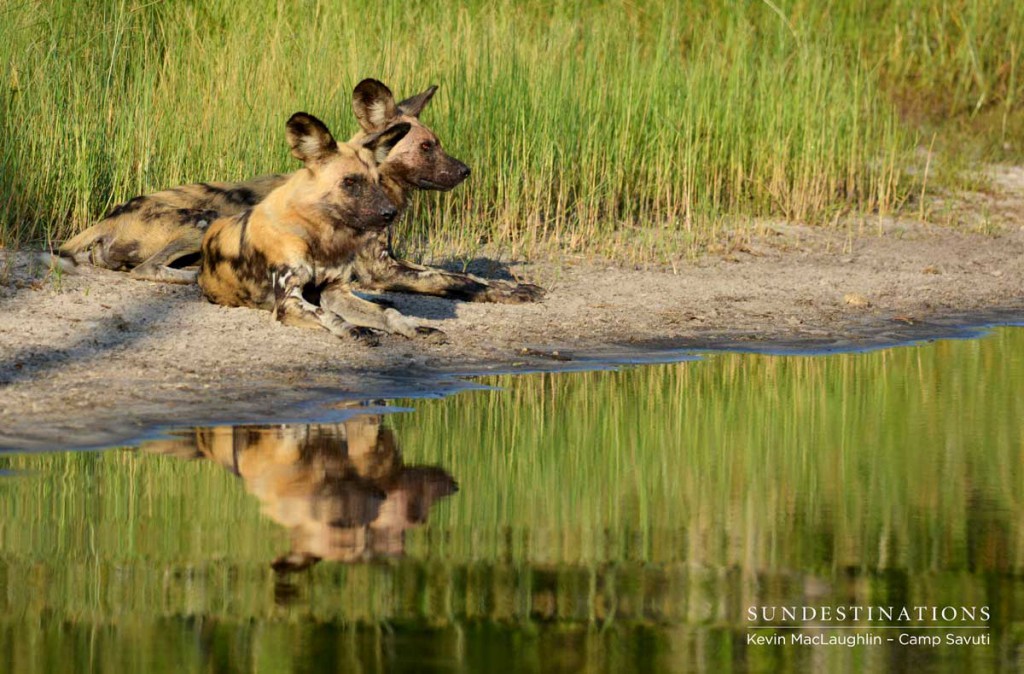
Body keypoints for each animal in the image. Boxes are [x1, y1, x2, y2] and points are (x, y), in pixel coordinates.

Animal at [198, 111, 440, 342]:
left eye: (378, 180)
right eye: (350, 182)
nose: (391, 212)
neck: (320, 236)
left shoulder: (336, 291)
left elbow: (388, 313)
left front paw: (415, 327)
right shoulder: (289, 301)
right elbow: (328, 314)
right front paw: (355, 329)